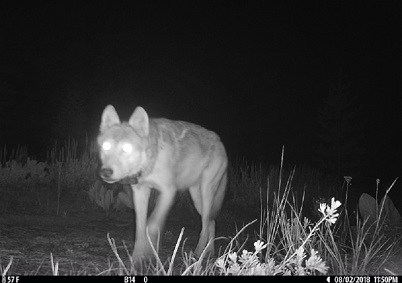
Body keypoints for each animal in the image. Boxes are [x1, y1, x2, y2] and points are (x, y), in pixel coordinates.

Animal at [97, 105, 228, 260]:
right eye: (106, 146)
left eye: (127, 148)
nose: (106, 172)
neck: (150, 161)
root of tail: (220, 140)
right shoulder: (140, 193)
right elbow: (140, 229)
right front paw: (136, 258)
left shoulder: (168, 192)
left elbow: (152, 225)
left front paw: (150, 253)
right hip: (196, 199)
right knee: (211, 222)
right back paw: (209, 251)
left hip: (206, 193)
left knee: (206, 224)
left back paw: (198, 253)